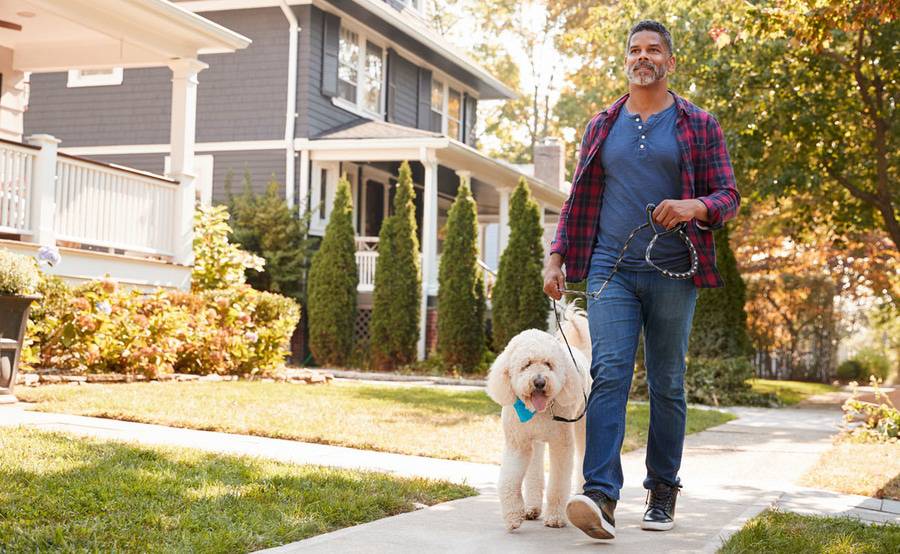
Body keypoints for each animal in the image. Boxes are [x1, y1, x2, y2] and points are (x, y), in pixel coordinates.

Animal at [486, 308, 592, 528]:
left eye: (548, 364)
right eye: (526, 365)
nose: (540, 382)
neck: (536, 411)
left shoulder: (562, 445)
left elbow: (558, 484)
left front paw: (555, 517)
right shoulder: (518, 445)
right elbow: (509, 480)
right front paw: (512, 515)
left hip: (582, 427)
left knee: (583, 458)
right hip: (535, 443)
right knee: (534, 471)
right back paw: (532, 508)